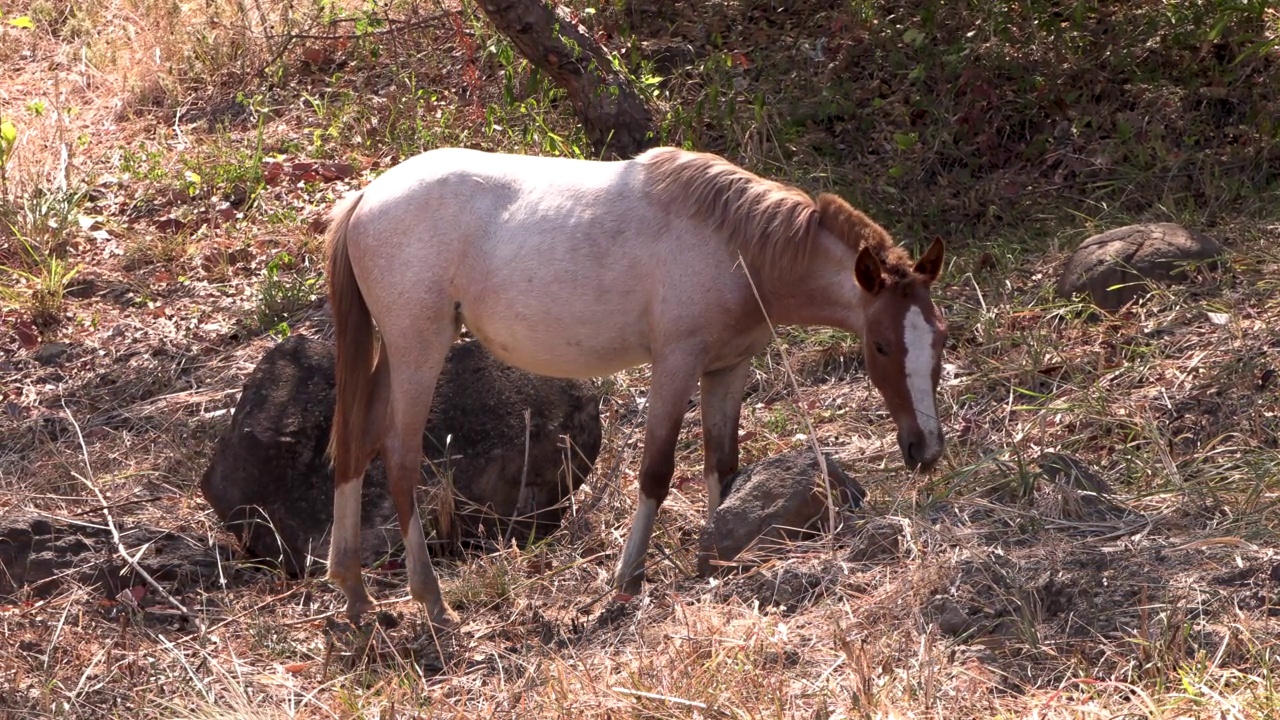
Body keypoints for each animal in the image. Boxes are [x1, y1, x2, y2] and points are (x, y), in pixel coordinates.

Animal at [320, 142, 947, 625]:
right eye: (882, 345)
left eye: (940, 339)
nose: (926, 449)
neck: (739, 249)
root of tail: (366, 198)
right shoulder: (676, 365)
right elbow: (656, 472)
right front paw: (627, 580)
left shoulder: (728, 368)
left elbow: (723, 465)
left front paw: (718, 557)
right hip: (418, 350)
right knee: (399, 459)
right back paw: (430, 599)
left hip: (395, 357)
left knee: (354, 445)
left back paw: (354, 593)